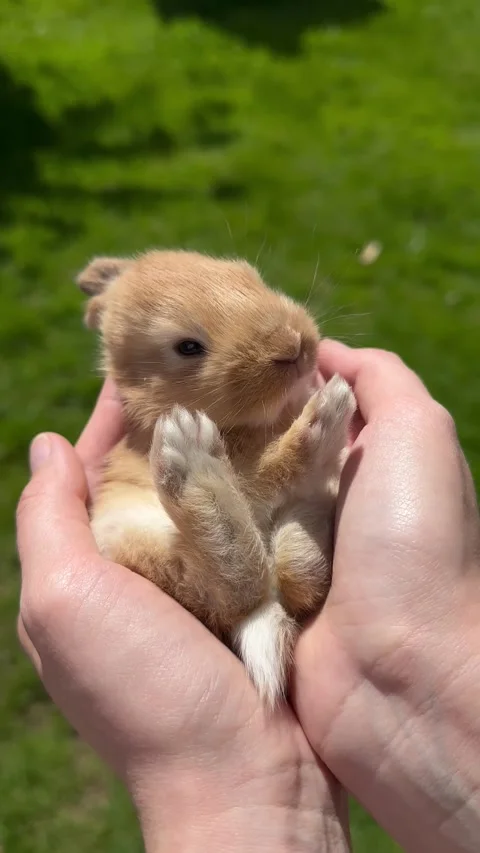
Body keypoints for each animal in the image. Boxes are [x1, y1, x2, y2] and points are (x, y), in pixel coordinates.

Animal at [77, 250, 356, 708]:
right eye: (188, 347)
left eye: (250, 276)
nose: (293, 346)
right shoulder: (250, 476)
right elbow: (274, 469)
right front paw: (330, 406)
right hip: (147, 548)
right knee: (238, 586)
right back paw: (192, 454)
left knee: (291, 580)